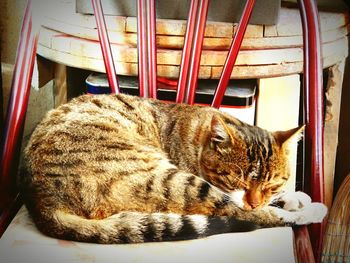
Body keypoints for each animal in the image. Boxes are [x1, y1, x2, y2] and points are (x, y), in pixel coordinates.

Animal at [19, 94, 328, 244]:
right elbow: (256, 210)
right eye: (235, 179)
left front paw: (294, 197)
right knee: (240, 213)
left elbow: (277, 200)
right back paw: (310, 212)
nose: (253, 201)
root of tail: (42, 202)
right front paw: (301, 206)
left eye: (271, 184)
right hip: (172, 181)